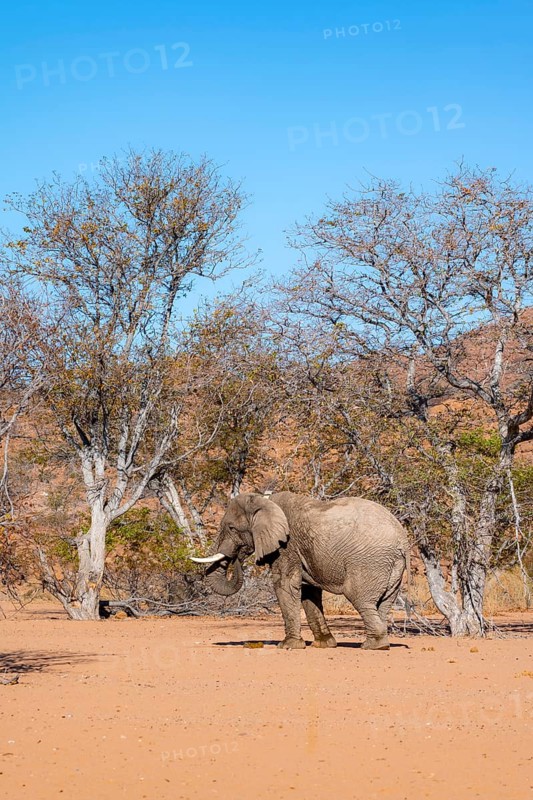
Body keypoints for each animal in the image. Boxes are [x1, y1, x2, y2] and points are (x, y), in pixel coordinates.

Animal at [191, 491, 409, 650]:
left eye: (231, 528)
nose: (238, 555)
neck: (264, 501)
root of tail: (402, 540)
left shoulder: (287, 546)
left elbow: (285, 585)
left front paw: (287, 646)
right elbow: (308, 592)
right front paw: (324, 645)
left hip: (369, 562)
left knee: (360, 599)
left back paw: (373, 646)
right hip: (391, 568)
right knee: (384, 603)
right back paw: (379, 642)